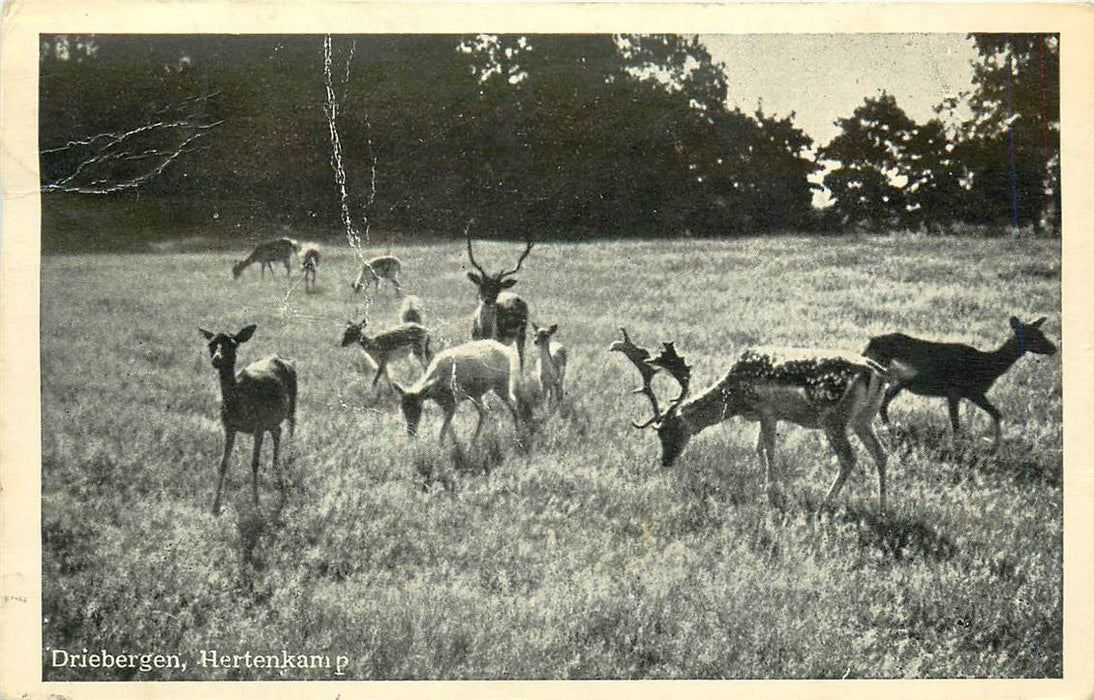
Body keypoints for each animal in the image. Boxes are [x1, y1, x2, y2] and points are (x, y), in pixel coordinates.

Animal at [198, 325, 297, 516]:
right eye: (211, 344)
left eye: (233, 344)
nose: (217, 359)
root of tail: (286, 359)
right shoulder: (229, 426)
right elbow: (223, 463)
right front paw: (216, 506)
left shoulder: (258, 426)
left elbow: (254, 463)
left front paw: (256, 503)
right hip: (271, 418)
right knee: (277, 431)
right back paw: (276, 469)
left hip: (293, 399)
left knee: (291, 426)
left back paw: (289, 461)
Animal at [612, 328, 892, 514]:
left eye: (669, 431)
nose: (666, 461)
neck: (735, 397)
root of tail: (877, 372)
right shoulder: (763, 416)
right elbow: (757, 448)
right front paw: (762, 486)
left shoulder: (767, 411)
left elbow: (769, 449)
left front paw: (772, 495)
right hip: (863, 419)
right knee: (881, 453)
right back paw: (882, 507)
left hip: (834, 419)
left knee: (849, 458)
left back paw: (825, 503)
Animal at [866, 315, 1054, 450]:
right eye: (1033, 336)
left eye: (1041, 333)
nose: (1054, 348)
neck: (986, 365)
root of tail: (868, 344)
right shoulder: (956, 391)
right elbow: (956, 423)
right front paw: (963, 448)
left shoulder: (972, 393)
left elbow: (996, 414)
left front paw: (994, 448)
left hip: (897, 382)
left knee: (883, 404)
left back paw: (890, 429)